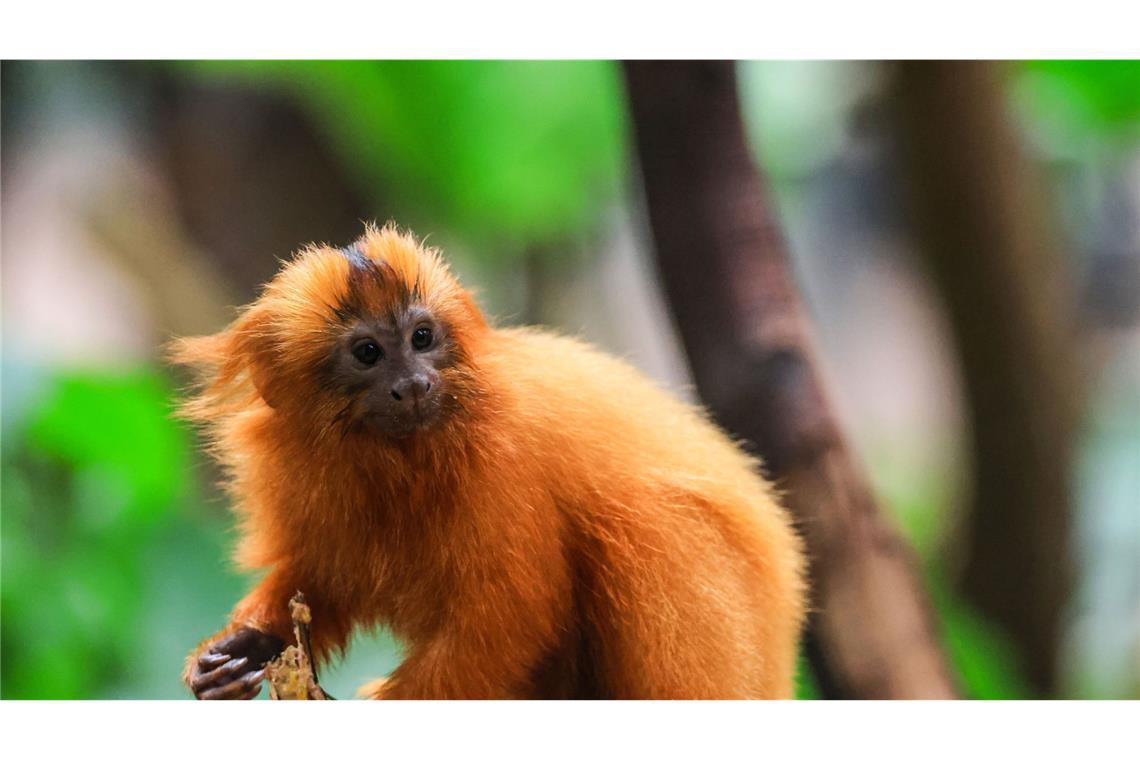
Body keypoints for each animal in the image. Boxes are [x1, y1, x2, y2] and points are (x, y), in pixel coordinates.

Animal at [173, 223, 807, 697]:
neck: (399, 461)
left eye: (422, 338)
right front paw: (242, 650)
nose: (414, 385)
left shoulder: (505, 467)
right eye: (368, 352)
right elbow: (318, 584)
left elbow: (505, 620)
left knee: (651, 525)